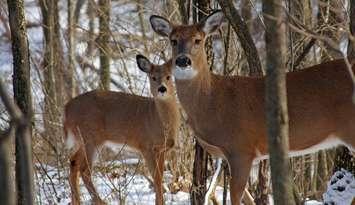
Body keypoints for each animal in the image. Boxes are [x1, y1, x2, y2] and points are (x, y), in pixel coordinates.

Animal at [63, 55, 181, 204]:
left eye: (168, 76)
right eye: (153, 77)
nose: (162, 88)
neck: (157, 119)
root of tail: (66, 109)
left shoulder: (162, 149)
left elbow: (160, 177)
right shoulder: (146, 146)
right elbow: (157, 178)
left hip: (84, 140)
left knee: (73, 162)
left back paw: (77, 201)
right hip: (90, 137)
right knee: (84, 169)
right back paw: (100, 201)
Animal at [150, 10, 355, 205]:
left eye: (197, 40)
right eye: (173, 40)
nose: (182, 61)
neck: (213, 102)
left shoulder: (241, 148)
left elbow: (235, 196)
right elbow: (246, 198)